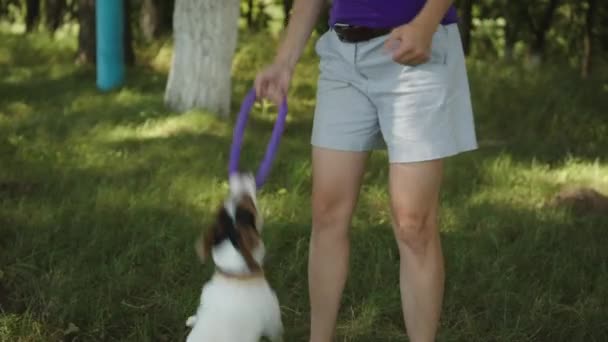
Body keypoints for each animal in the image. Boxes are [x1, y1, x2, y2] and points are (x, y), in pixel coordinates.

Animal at [185, 174, 284, 342]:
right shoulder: (272, 315)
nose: (241, 175)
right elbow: (277, 332)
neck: (235, 274)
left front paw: (193, 319)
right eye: (250, 203)